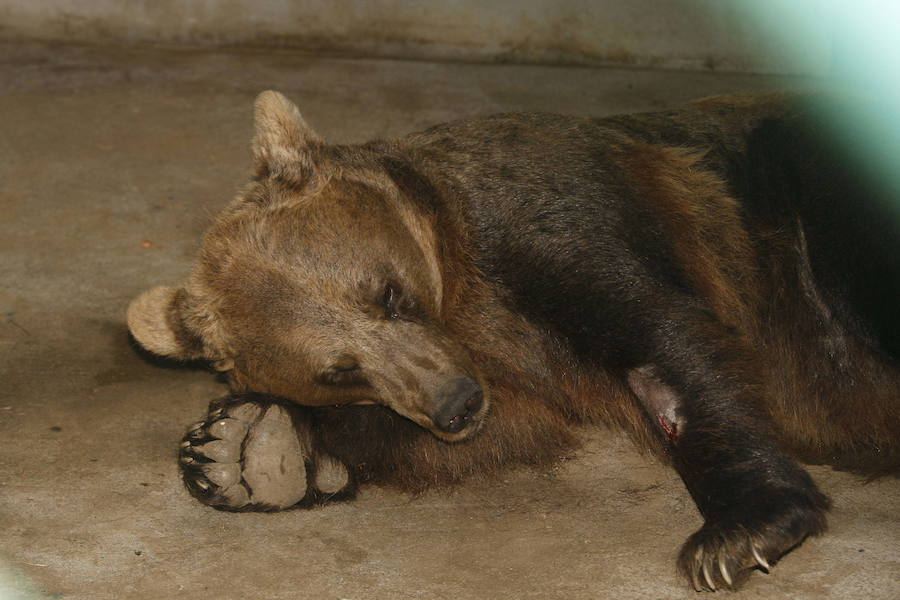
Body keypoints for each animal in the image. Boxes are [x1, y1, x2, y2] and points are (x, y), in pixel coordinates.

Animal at [128, 90, 900, 592]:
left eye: (387, 293)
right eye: (339, 370)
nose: (455, 403)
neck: (461, 273)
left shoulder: (551, 215)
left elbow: (660, 343)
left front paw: (740, 529)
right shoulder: (502, 374)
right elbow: (496, 433)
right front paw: (251, 450)